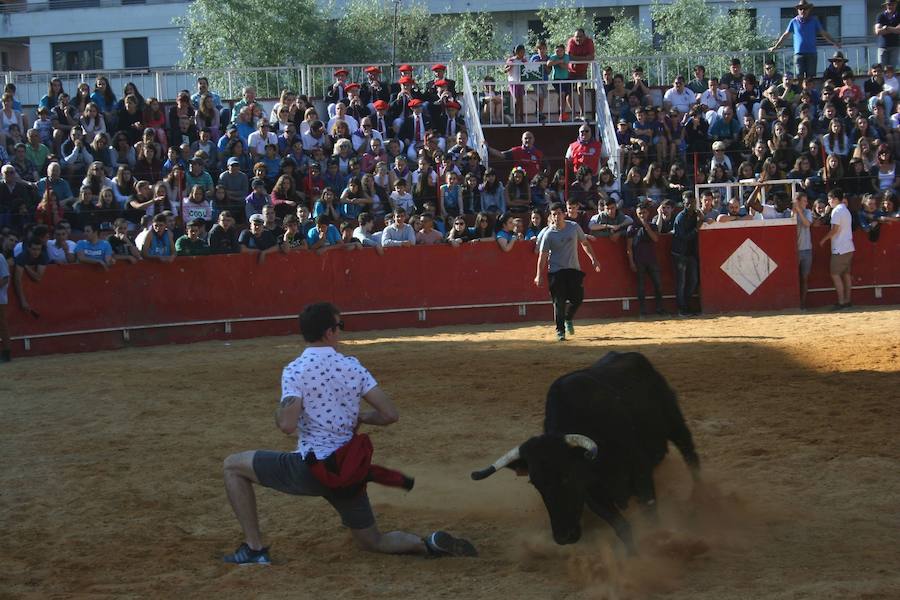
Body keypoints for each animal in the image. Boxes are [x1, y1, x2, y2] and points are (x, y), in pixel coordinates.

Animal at [474, 352, 700, 552]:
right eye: (535, 483)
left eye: (567, 476)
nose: (564, 537)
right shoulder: (593, 495)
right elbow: (621, 526)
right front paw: (634, 557)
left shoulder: (641, 472)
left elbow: (651, 515)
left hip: (676, 424)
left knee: (691, 457)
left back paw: (698, 499)